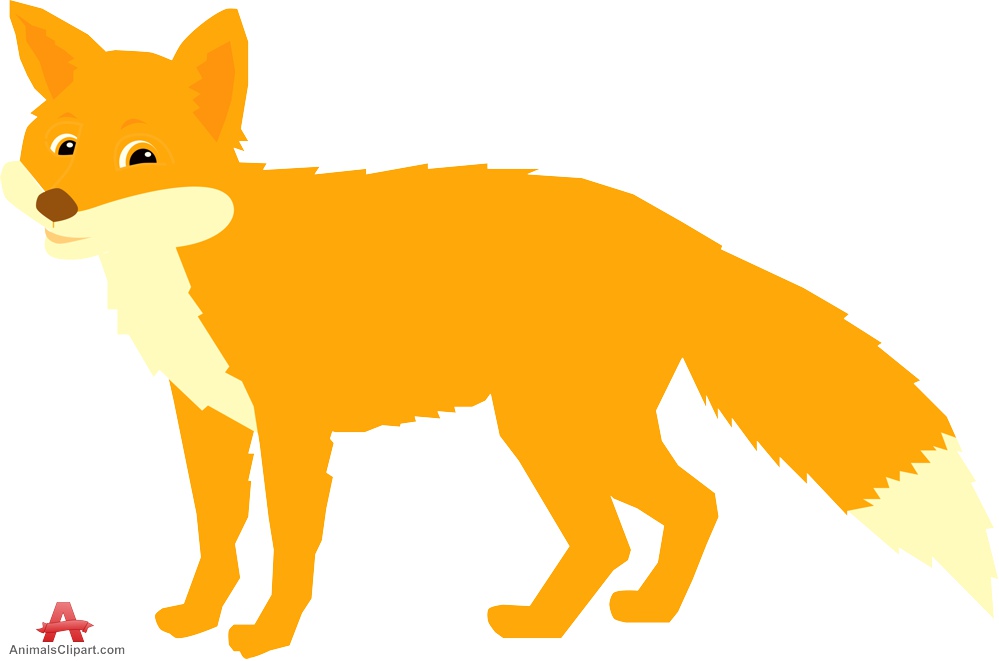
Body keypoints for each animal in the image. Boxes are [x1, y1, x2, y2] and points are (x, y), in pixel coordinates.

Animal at [2, 2, 995, 658]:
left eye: (143, 156)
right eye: (62, 146)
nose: (55, 203)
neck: (189, 260)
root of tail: (681, 232)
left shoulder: (292, 431)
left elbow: (288, 546)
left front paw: (270, 631)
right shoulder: (208, 421)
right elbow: (216, 535)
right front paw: (196, 617)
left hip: (550, 429)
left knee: (639, 523)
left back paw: (557, 622)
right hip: (571, 431)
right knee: (683, 509)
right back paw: (622, 616)